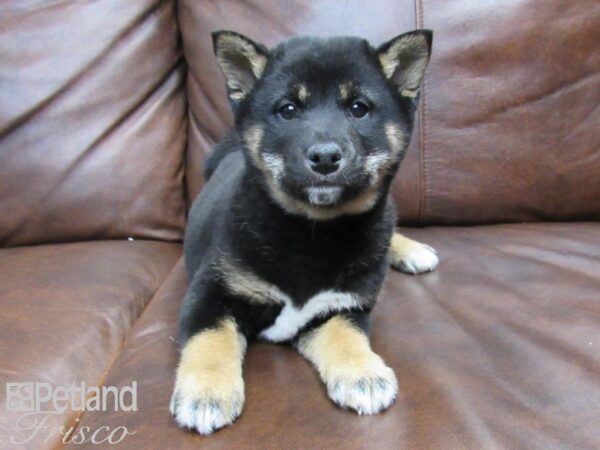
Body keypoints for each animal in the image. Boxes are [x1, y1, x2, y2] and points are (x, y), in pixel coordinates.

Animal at [171, 29, 438, 436]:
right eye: (288, 110)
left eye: (358, 108)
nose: (325, 156)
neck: (311, 232)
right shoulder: (211, 291)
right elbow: (210, 339)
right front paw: (206, 392)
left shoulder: (343, 305)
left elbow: (346, 336)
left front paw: (363, 373)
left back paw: (412, 250)